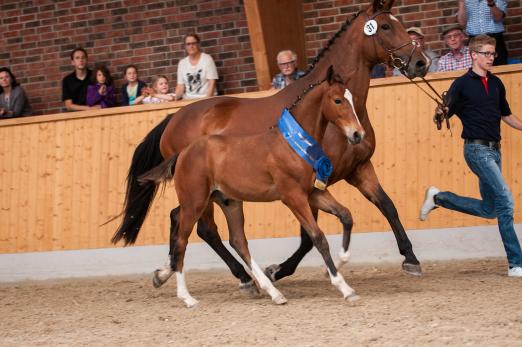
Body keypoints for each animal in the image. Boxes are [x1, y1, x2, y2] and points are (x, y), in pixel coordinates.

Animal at [140, 70, 364, 308]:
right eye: (338, 100)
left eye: (351, 98)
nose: (357, 134)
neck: (293, 144)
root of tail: (182, 153)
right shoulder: (293, 197)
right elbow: (318, 238)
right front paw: (343, 287)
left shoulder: (314, 193)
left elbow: (346, 216)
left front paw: (341, 262)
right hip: (195, 203)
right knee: (183, 241)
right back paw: (187, 297)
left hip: (228, 202)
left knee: (239, 241)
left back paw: (271, 291)